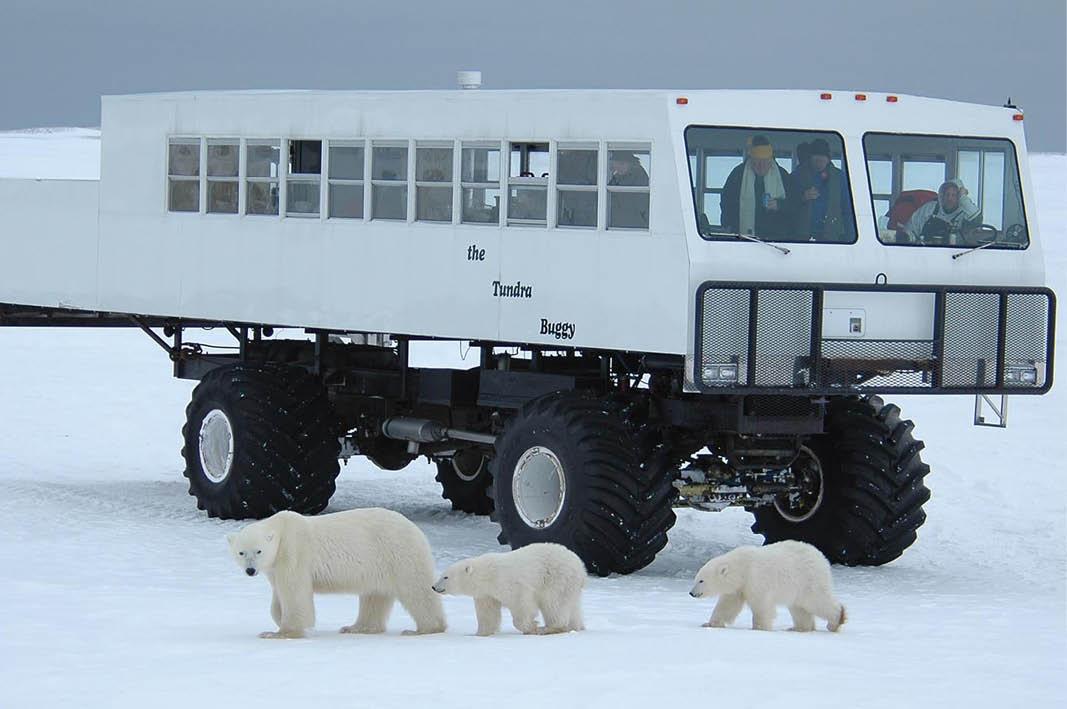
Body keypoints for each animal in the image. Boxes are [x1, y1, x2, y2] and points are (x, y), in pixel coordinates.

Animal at [227, 508, 447, 639]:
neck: (282, 529)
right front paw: (278, 619)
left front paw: (280, 633)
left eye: (258, 551)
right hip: (379, 565)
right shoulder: (274, 567)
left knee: (417, 590)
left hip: (399, 554)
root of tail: (417, 530)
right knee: (375, 596)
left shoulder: (293, 553)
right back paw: (356, 628)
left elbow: (294, 593)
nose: (250, 570)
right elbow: (278, 596)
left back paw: (424, 629)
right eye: (241, 552)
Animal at [432, 543, 586, 636]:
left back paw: (549, 628)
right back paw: (575, 627)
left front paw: (532, 627)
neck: (487, 574)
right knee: (572, 606)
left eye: (445, 577)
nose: (434, 587)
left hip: (556, 578)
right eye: (442, 575)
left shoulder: (509, 583)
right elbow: (488, 613)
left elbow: (522, 605)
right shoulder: (487, 594)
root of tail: (581, 567)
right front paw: (481, 634)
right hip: (570, 585)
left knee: (554, 604)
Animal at [689, 540, 847, 632]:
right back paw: (798, 628)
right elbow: (727, 605)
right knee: (799, 608)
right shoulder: (739, 587)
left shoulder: (755, 579)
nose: (691, 593)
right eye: (696, 579)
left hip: (807, 579)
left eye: (701, 581)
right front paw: (710, 624)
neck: (742, 567)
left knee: (816, 600)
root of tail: (821, 557)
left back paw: (836, 620)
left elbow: (761, 605)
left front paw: (759, 628)